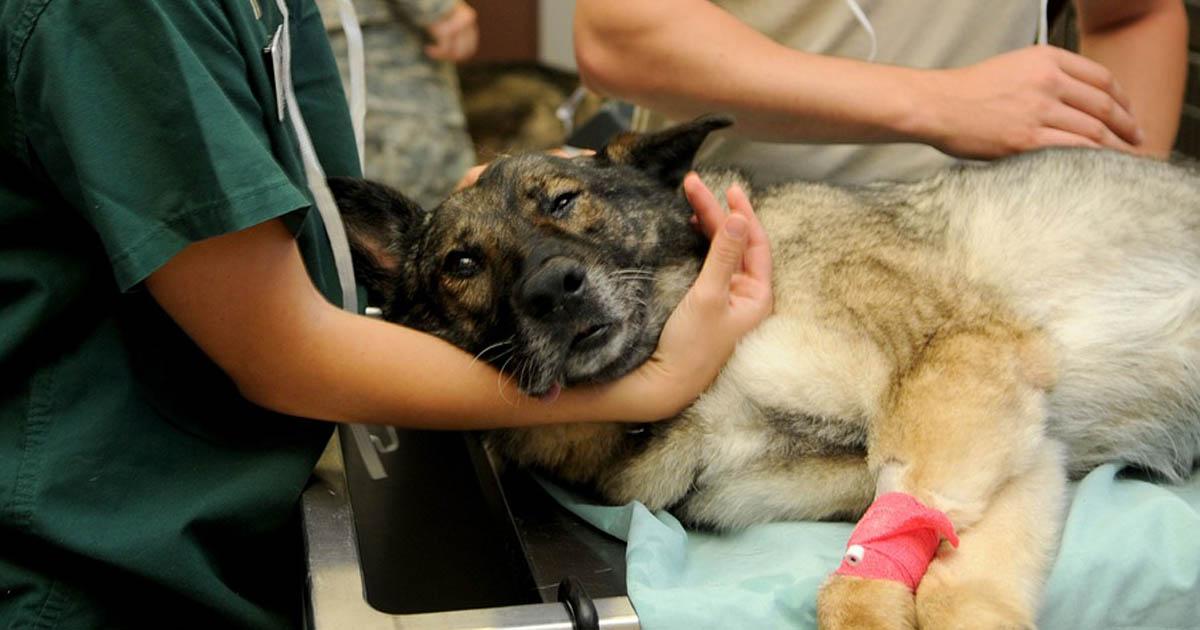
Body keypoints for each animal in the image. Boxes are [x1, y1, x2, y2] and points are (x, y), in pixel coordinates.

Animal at [331, 116, 1200, 624]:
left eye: (565, 199)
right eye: (462, 263)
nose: (553, 289)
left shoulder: (961, 363)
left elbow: (894, 570)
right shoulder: (1015, 447)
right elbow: (951, 573)